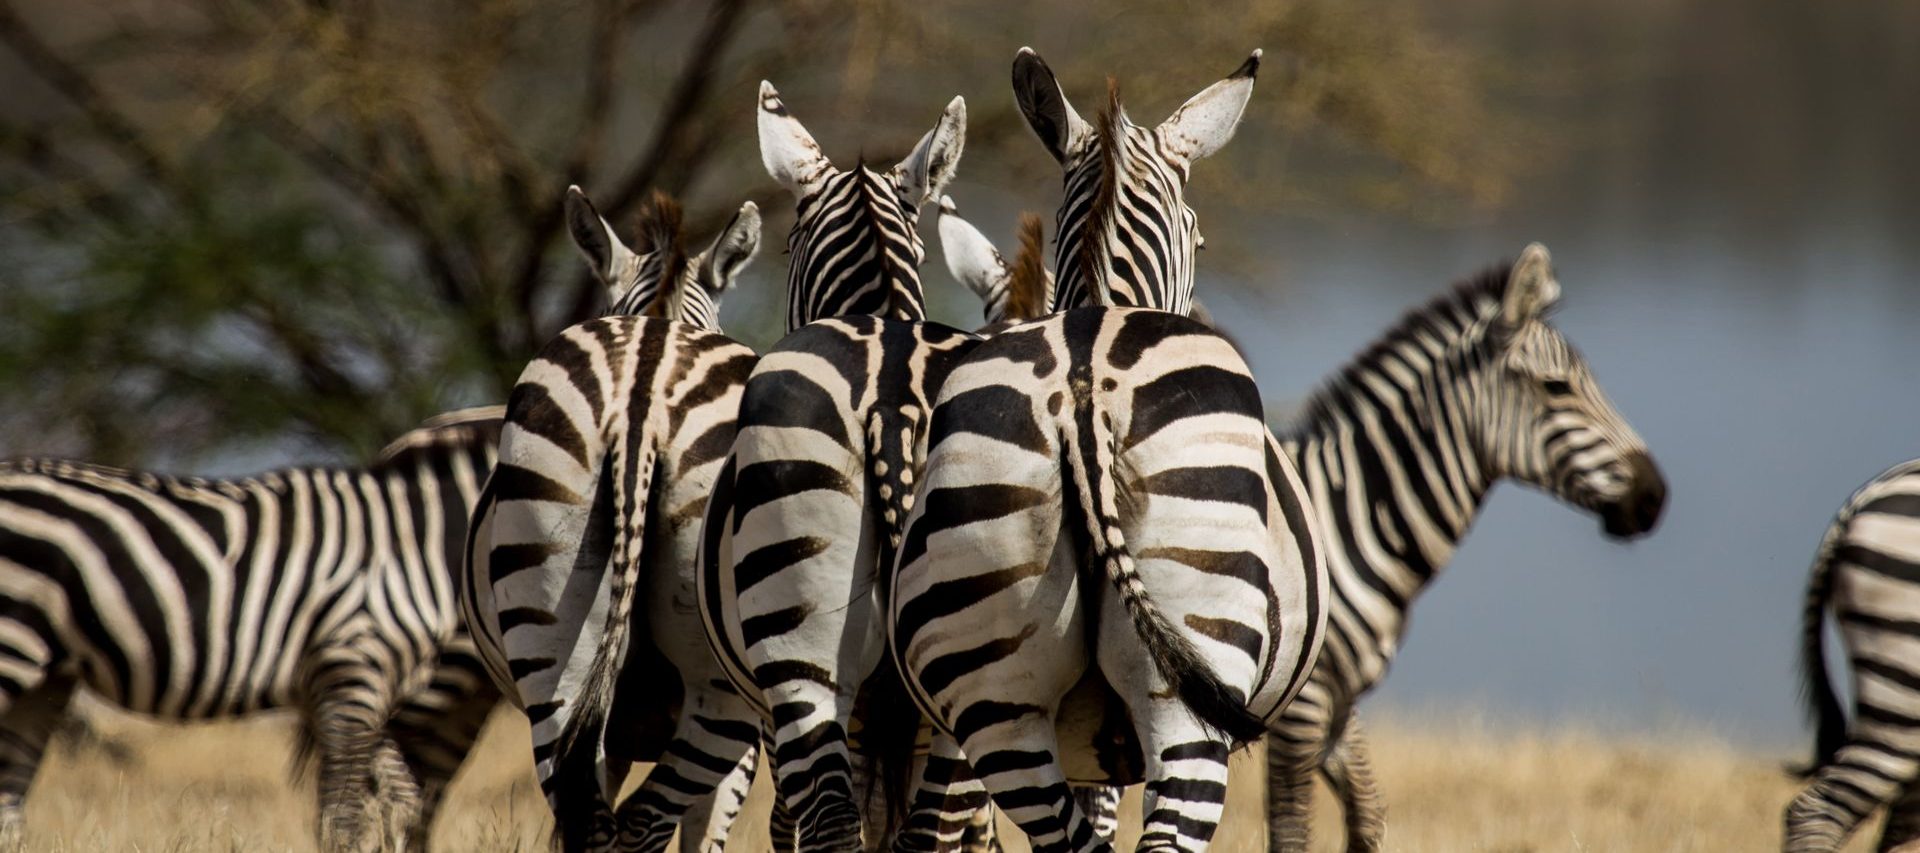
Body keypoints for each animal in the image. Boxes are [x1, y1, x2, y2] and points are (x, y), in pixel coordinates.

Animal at [0, 407, 503, 852]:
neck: (415, 538)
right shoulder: (353, 670)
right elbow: (344, 818)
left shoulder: (360, 690)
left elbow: (384, 805)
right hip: (13, 645)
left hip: (46, 679)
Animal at [461, 186, 765, 852]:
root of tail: (640, 394)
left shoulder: (613, 723)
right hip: (722, 688)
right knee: (643, 821)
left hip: (553, 638)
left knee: (591, 815)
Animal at [694, 83, 976, 851]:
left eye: (788, 243)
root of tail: (893, 392)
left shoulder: (774, 713)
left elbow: (789, 823)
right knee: (925, 830)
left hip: (803, 663)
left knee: (827, 823)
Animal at [1258, 244, 1667, 852]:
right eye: (1557, 388)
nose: (1655, 496)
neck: (1347, 522)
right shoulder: (1299, 708)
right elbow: (1291, 834)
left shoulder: (1339, 698)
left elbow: (1368, 811)